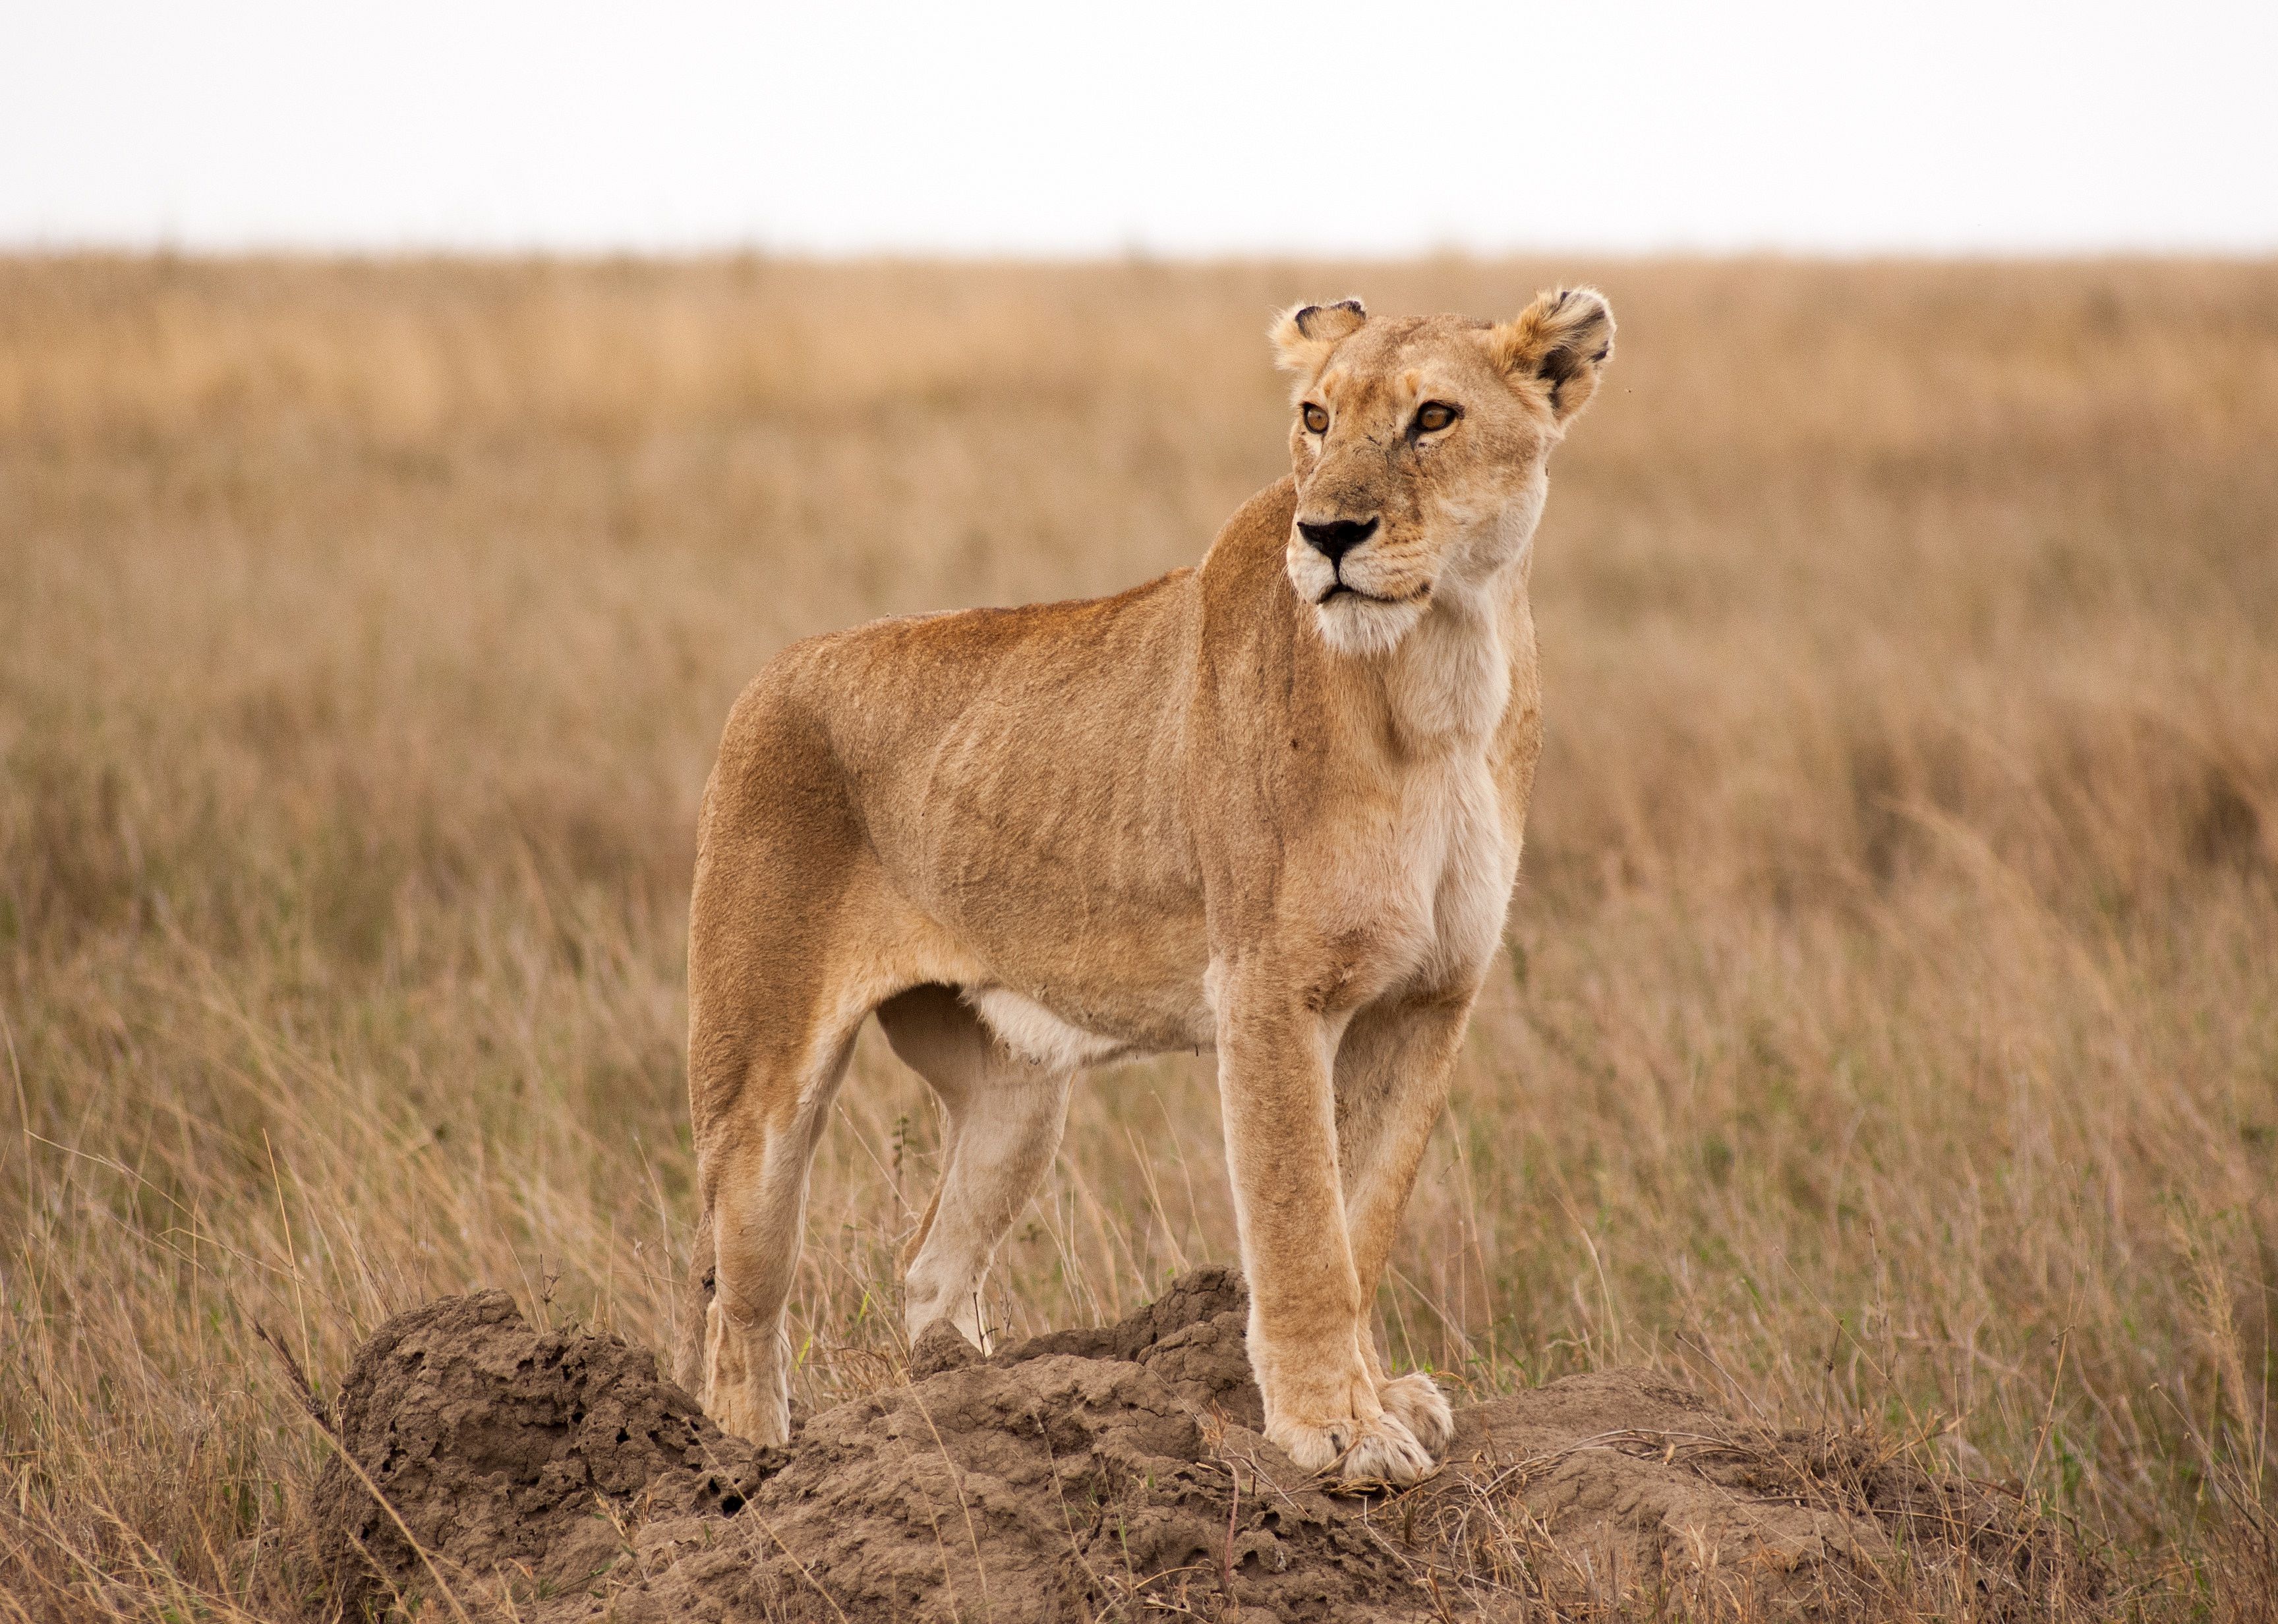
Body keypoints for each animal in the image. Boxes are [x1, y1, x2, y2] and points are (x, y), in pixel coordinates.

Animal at [675, 287, 1614, 1484]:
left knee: (930, 1263)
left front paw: (1379, 1394)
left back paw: (970, 1410)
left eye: (1434, 417)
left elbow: (1362, 1217)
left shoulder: (1428, 1001)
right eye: (1315, 416)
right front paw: (1337, 1430)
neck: (1441, 676)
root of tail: (773, 670)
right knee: (738, 1301)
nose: (1328, 535)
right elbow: (1301, 1225)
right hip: (758, 1086)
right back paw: (750, 1465)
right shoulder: (1270, 989)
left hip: (1017, 1101)